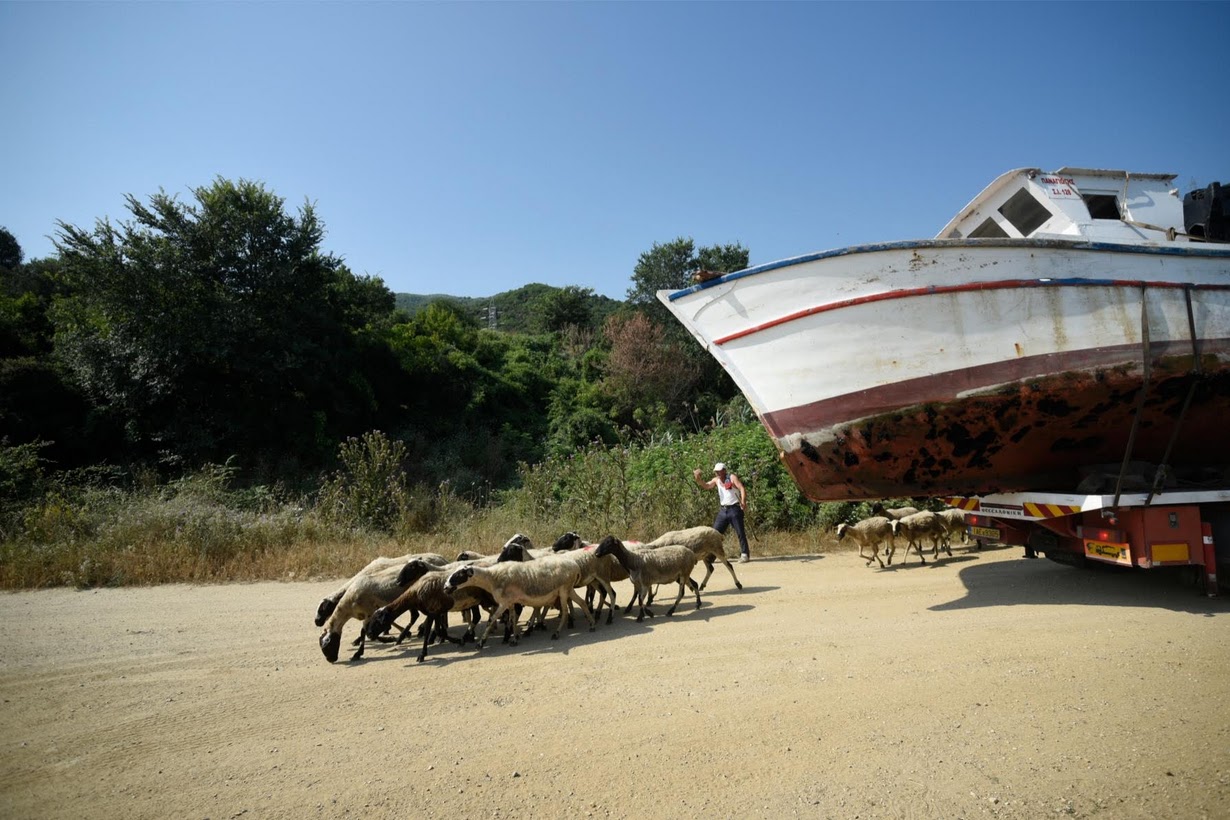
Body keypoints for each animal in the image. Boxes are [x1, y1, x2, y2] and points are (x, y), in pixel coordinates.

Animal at [442, 558, 595, 649]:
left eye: (459, 575)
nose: (445, 588)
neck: (492, 577)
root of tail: (575, 566)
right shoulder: (510, 602)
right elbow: (512, 619)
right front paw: (514, 638)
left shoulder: (504, 603)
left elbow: (492, 619)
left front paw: (481, 642)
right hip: (569, 589)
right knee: (582, 603)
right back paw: (592, 625)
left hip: (563, 590)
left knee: (565, 612)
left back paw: (557, 633)